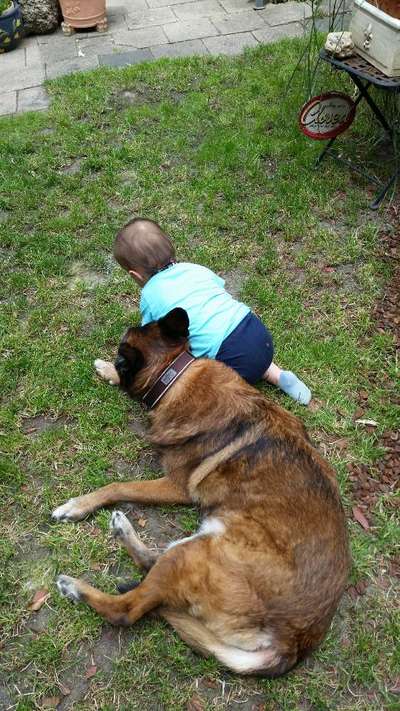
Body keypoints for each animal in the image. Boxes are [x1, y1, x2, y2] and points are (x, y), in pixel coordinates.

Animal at [54, 308, 350, 676]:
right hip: (198, 544)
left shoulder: (175, 485)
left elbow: (117, 485)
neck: (176, 376)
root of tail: (292, 643)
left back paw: (76, 587)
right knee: (150, 563)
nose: (113, 361)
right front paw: (104, 369)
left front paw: (77, 505)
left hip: (194, 555)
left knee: (128, 608)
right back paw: (123, 530)